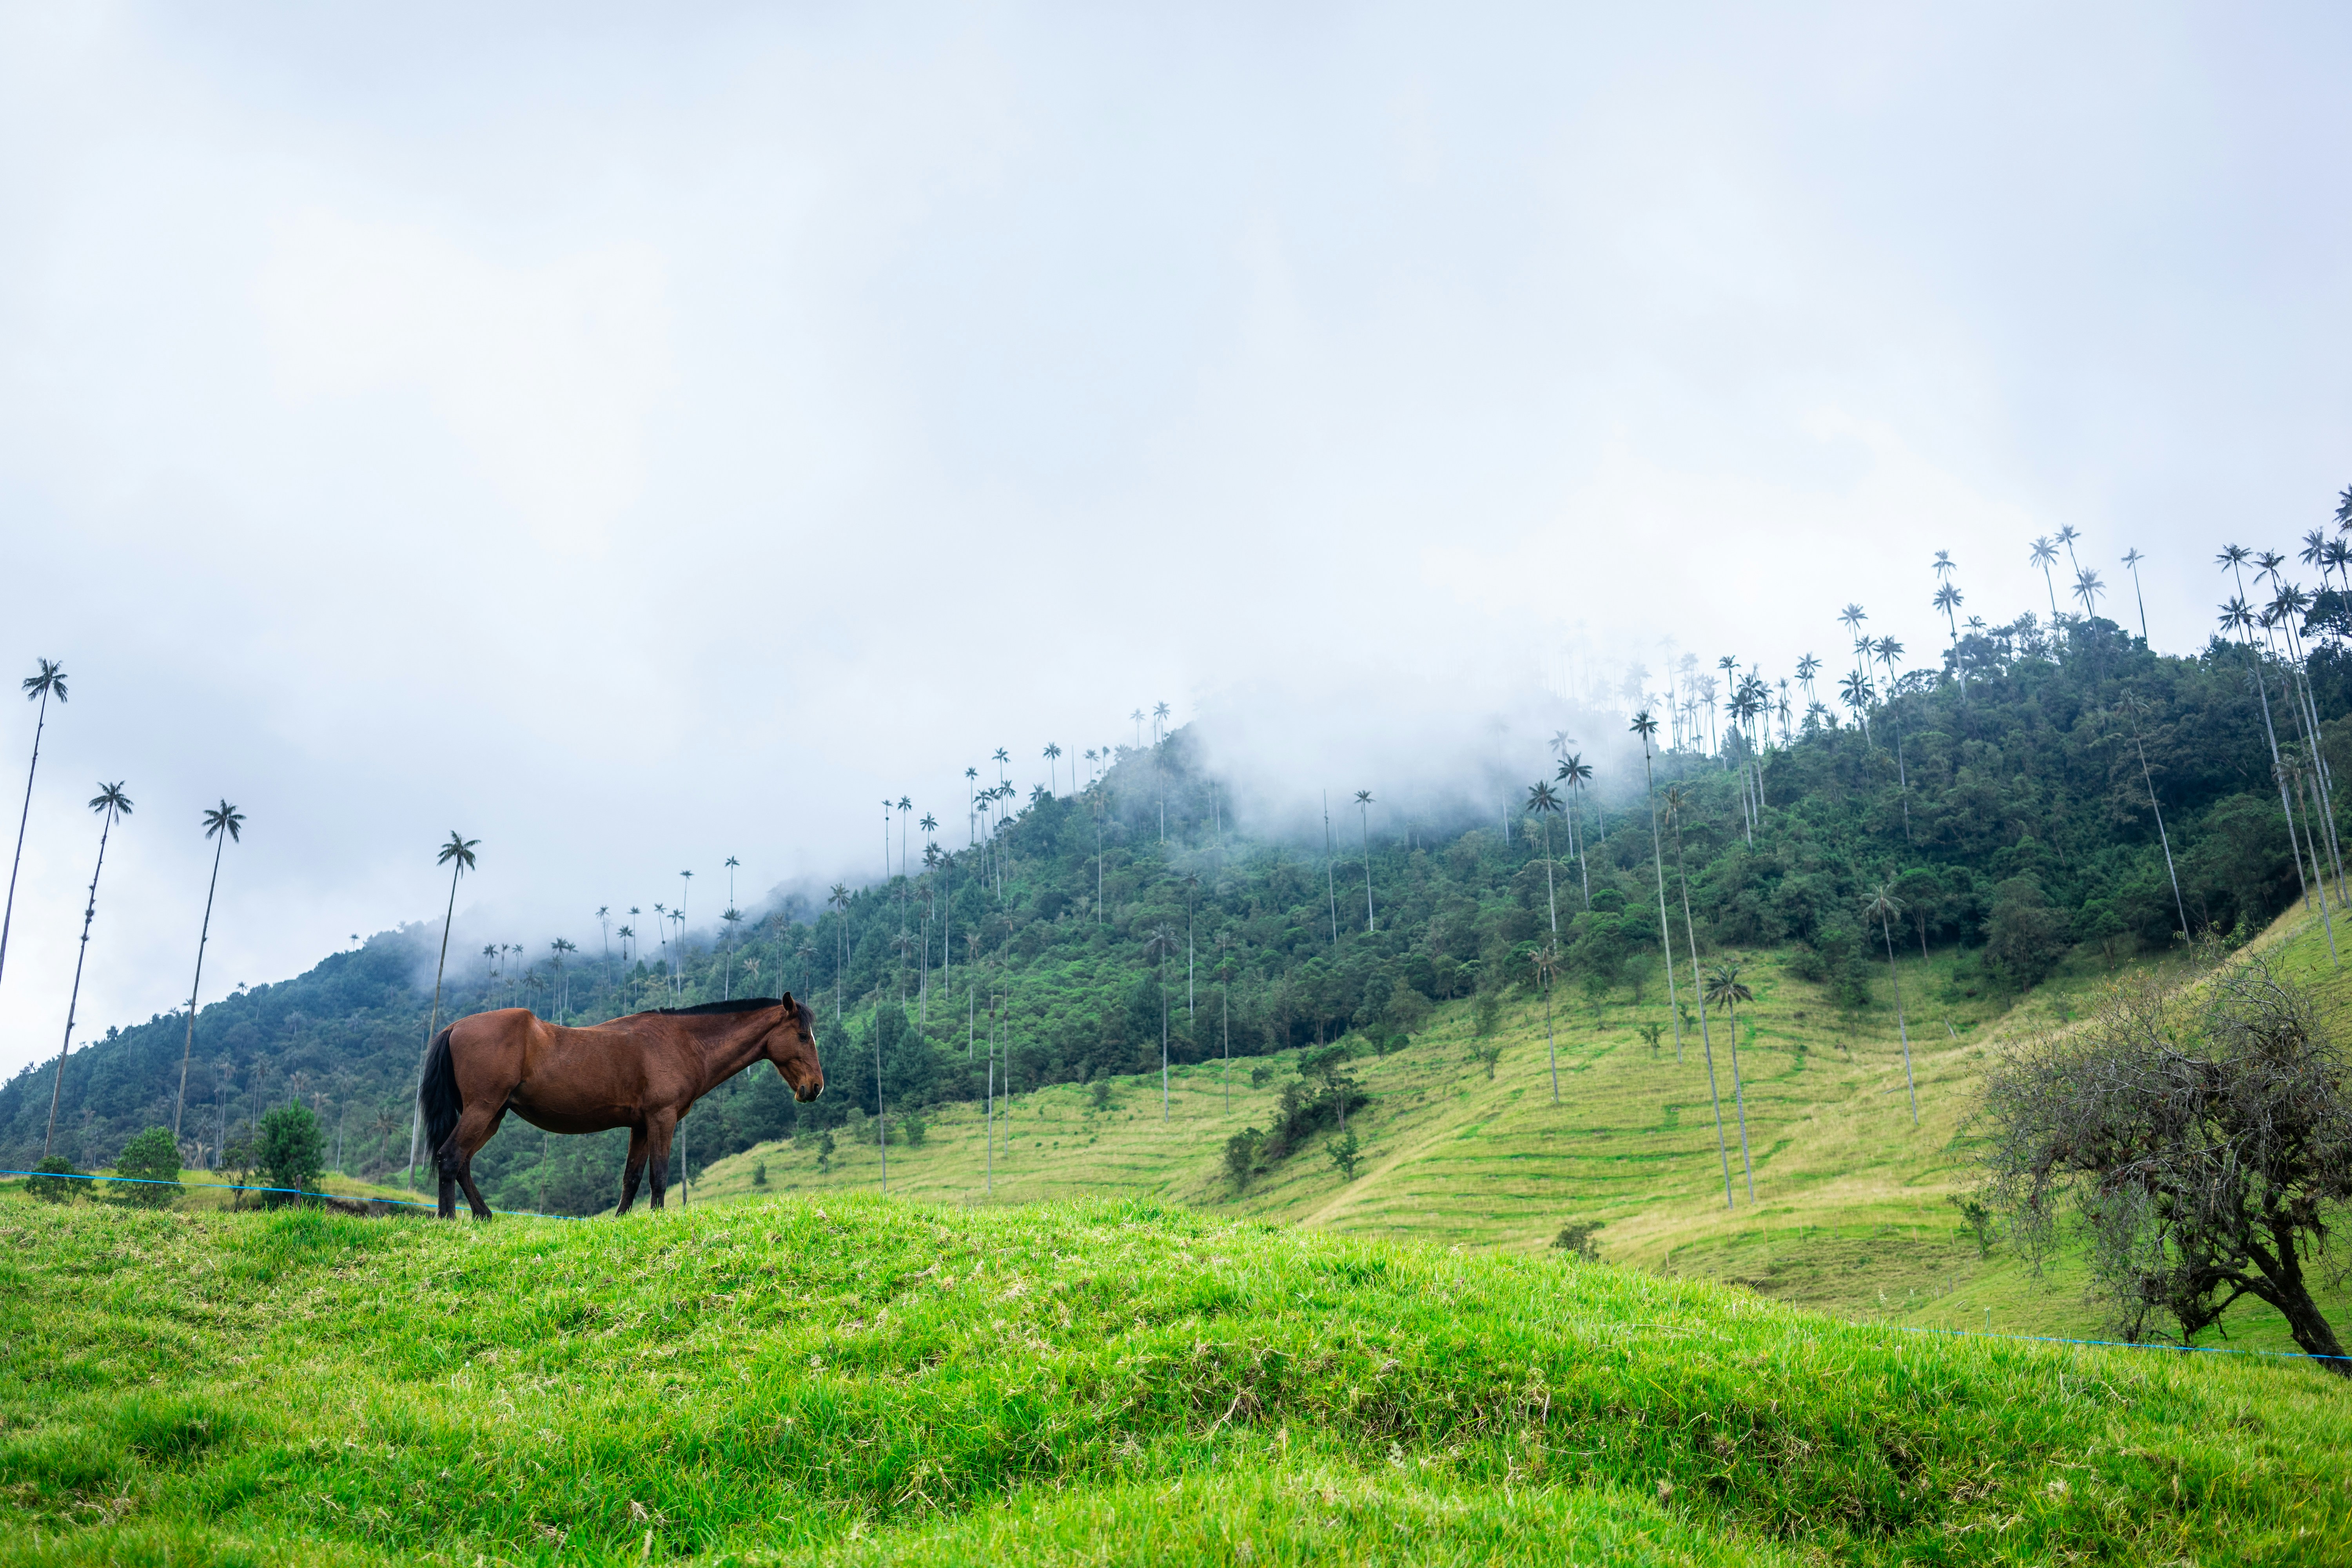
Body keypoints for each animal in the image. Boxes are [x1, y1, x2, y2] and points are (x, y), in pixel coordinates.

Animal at [416, 994, 823, 1219]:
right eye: (803, 1036)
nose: (815, 1088)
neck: (683, 1041)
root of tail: (455, 1027)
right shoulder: (662, 1119)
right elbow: (659, 1175)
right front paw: (657, 1218)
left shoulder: (641, 1126)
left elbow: (632, 1177)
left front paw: (622, 1219)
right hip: (483, 1110)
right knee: (451, 1157)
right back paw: (449, 1219)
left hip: (492, 1115)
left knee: (463, 1162)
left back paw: (483, 1216)